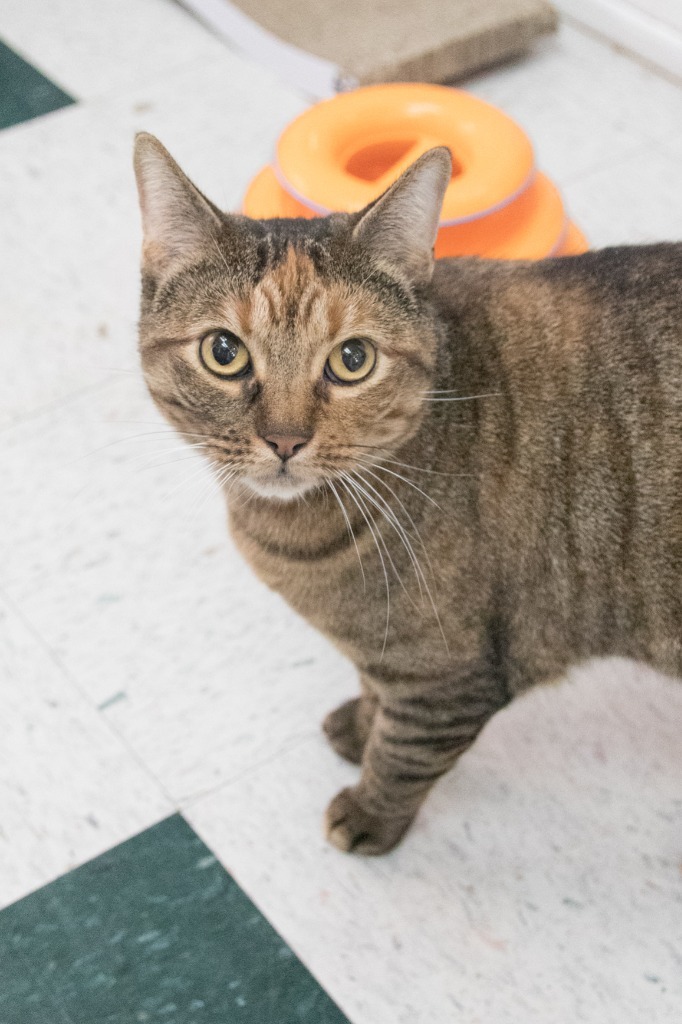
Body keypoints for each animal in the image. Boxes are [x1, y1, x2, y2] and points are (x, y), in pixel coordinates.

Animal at [134, 134, 679, 856]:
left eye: (353, 360)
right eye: (223, 351)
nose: (284, 440)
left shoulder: (446, 679)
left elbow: (403, 756)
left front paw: (369, 813)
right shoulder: (385, 650)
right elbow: (373, 691)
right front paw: (359, 725)